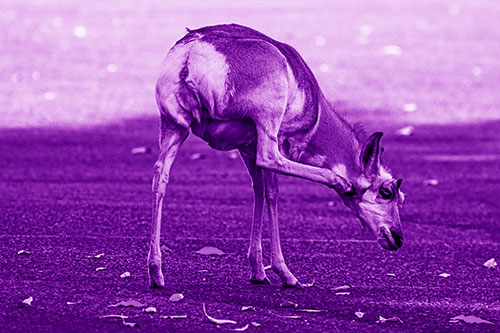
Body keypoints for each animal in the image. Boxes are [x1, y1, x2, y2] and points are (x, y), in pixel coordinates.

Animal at [149, 23, 406, 288]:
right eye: (387, 192)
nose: (398, 238)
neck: (316, 109)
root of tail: (194, 49)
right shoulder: (270, 139)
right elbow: (272, 193)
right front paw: (283, 272)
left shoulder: (246, 148)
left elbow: (259, 190)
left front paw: (257, 271)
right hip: (266, 123)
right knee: (270, 158)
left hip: (173, 127)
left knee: (160, 175)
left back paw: (156, 272)